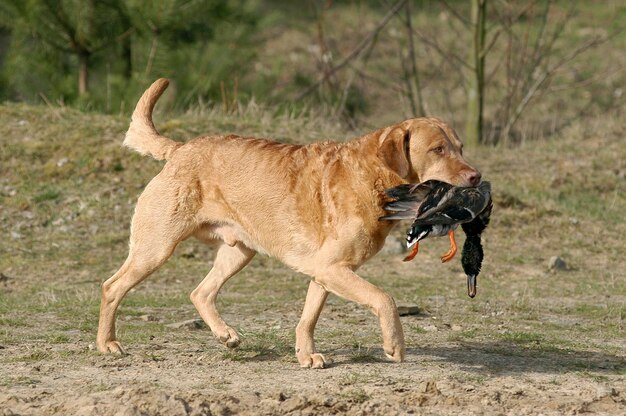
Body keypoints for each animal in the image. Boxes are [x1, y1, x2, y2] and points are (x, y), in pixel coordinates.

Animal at [96, 78, 478, 368]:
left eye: (460, 146)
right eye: (438, 149)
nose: (476, 177)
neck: (373, 176)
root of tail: (179, 149)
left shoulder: (325, 271)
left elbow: (308, 318)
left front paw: (305, 355)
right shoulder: (334, 269)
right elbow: (384, 298)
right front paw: (394, 345)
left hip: (239, 251)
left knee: (200, 291)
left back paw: (226, 335)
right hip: (155, 248)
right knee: (112, 287)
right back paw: (107, 344)